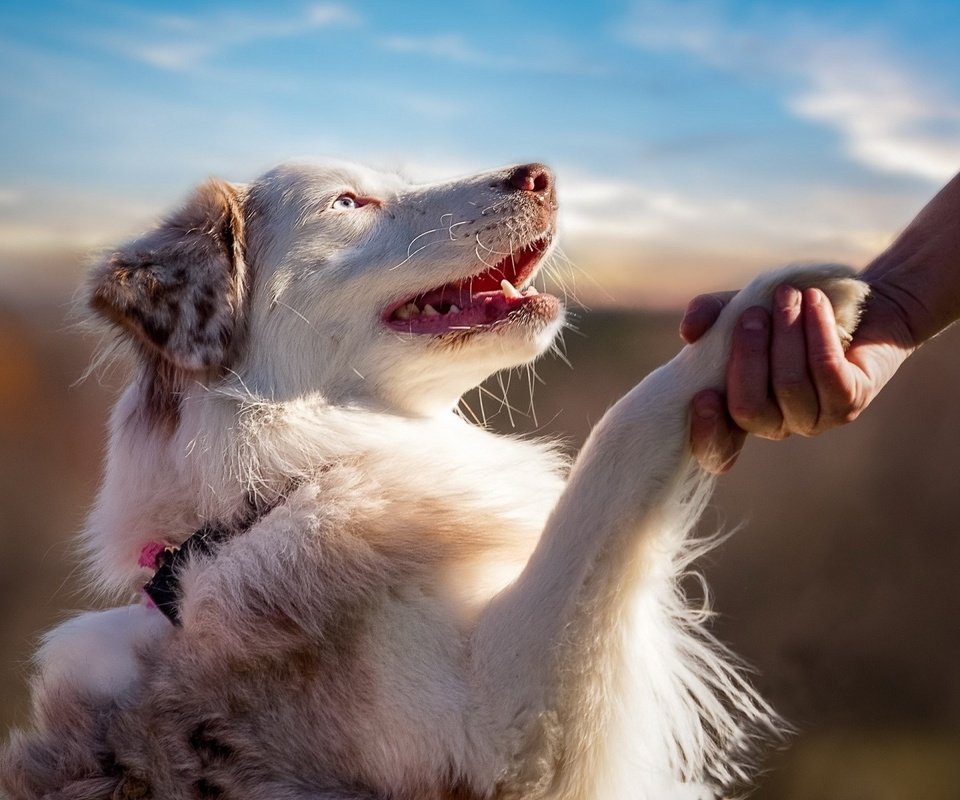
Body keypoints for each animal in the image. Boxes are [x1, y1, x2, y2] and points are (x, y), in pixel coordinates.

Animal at [0, 159, 872, 796]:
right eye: (350, 200)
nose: (540, 175)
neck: (277, 490)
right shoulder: (504, 735)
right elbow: (618, 443)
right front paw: (776, 305)